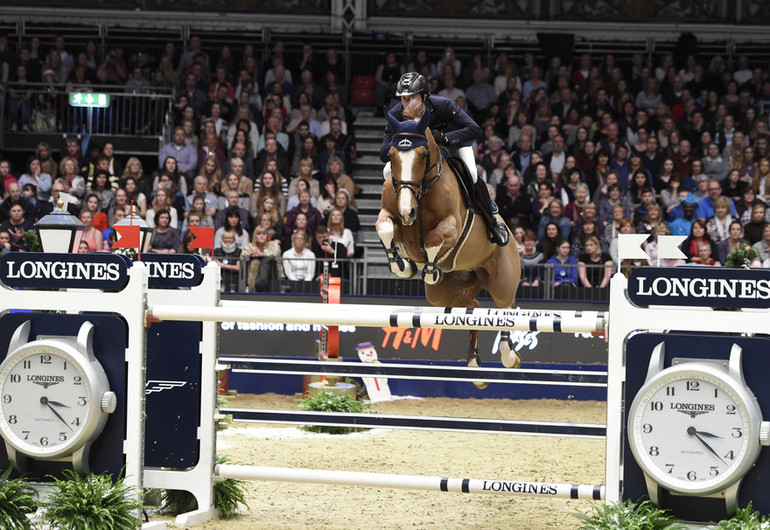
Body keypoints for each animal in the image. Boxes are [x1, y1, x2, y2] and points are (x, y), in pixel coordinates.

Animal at [374, 110, 520, 388]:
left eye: (423, 155)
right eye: (392, 155)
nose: (407, 211)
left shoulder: (451, 226)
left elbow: (433, 239)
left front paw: (430, 269)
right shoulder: (392, 215)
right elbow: (385, 228)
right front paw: (402, 265)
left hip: (501, 279)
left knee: (505, 307)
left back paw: (509, 356)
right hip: (444, 293)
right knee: (474, 306)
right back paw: (473, 363)